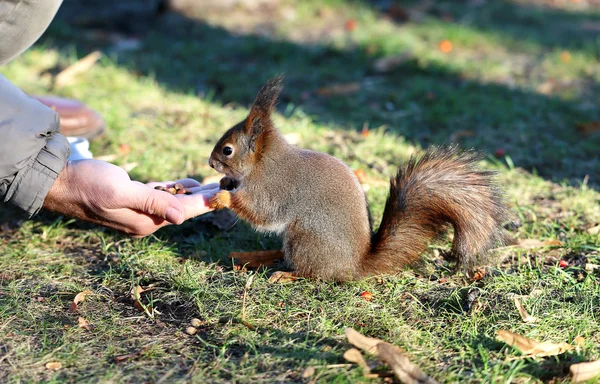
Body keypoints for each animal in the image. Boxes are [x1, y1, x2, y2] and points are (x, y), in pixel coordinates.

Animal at [207, 75, 510, 282]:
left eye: (227, 150)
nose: (210, 163)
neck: (261, 162)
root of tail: (354, 266)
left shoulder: (272, 187)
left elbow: (261, 212)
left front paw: (223, 197)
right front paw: (224, 185)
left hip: (305, 239)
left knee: (314, 274)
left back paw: (287, 274)